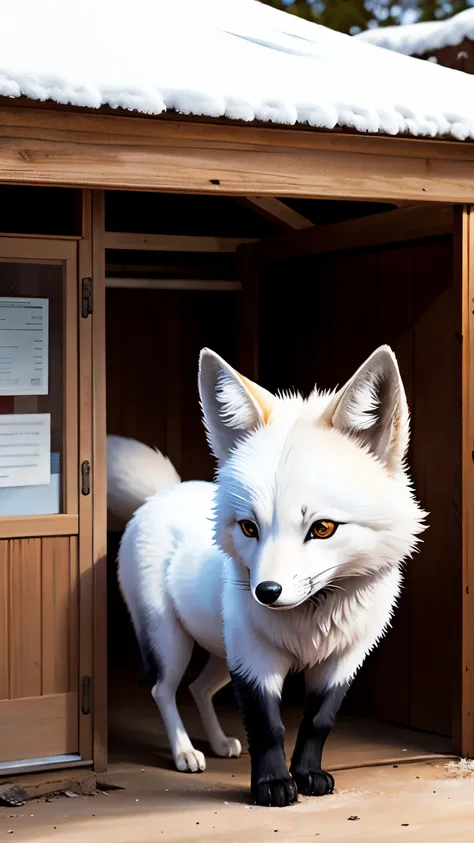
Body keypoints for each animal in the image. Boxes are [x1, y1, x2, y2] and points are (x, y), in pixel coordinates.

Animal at [110, 346, 426, 808]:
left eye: (323, 528)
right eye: (248, 527)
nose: (266, 593)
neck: (313, 621)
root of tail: (162, 493)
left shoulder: (344, 659)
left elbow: (317, 722)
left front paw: (308, 775)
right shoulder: (254, 659)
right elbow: (267, 726)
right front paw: (272, 786)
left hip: (220, 652)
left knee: (199, 689)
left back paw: (219, 743)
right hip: (171, 640)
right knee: (163, 691)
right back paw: (185, 752)